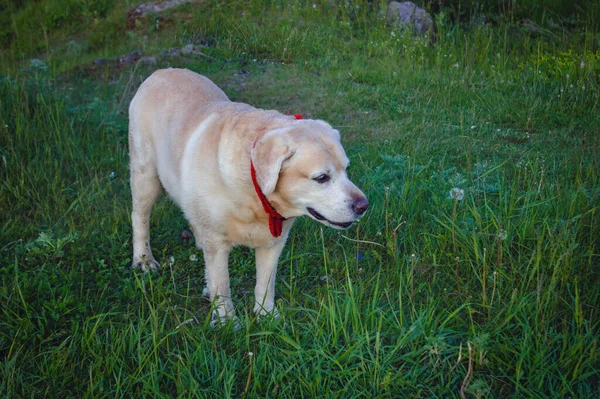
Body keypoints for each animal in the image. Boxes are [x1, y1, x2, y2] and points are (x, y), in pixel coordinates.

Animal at [129, 69, 368, 324]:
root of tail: (160, 72)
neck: (253, 193)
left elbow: (266, 282)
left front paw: (266, 315)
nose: (364, 205)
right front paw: (227, 321)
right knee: (139, 218)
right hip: (145, 175)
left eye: (346, 169)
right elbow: (222, 284)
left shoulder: (274, 243)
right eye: (321, 177)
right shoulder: (217, 244)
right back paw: (143, 260)